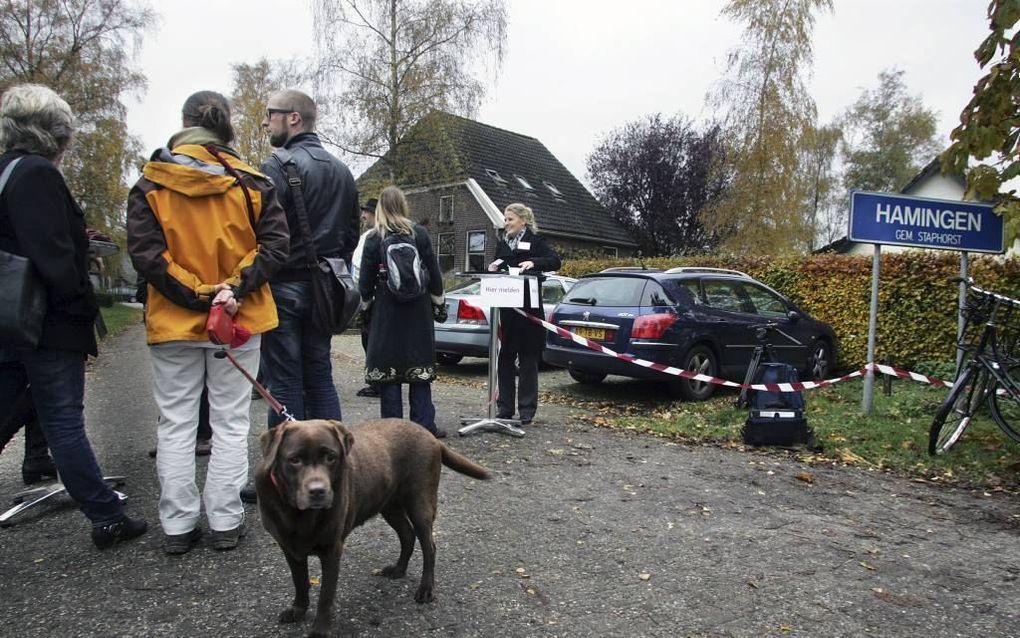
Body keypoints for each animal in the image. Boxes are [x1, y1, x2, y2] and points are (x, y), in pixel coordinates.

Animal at [257, 418, 491, 636]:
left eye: (331, 457)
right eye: (294, 460)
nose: (318, 491)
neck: (298, 512)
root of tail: (428, 434)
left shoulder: (332, 550)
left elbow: (325, 595)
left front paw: (320, 631)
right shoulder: (289, 548)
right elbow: (299, 581)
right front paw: (298, 610)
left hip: (420, 504)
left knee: (429, 547)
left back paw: (425, 589)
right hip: (390, 507)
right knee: (407, 535)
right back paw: (398, 569)